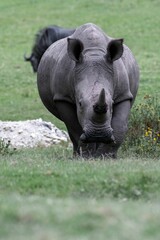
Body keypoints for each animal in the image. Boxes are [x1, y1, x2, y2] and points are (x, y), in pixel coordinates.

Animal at [37, 22, 139, 158]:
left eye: (112, 103)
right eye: (80, 104)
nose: (98, 133)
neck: (93, 53)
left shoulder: (124, 95)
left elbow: (119, 125)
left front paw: (106, 156)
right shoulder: (63, 97)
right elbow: (75, 127)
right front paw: (85, 156)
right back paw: (78, 155)